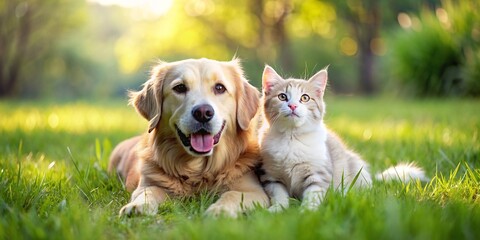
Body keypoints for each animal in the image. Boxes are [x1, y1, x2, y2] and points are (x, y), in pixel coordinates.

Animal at [106, 58, 268, 218]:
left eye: (219, 88)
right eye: (180, 88)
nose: (203, 113)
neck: (198, 170)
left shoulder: (253, 191)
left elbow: (232, 195)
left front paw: (220, 210)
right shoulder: (147, 184)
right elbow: (149, 192)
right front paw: (137, 207)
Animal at [256, 65, 426, 212]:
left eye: (305, 98)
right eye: (282, 96)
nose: (292, 106)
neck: (292, 139)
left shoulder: (319, 174)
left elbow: (313, 195)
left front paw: (307, 212)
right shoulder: (271, 175)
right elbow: (279, 196)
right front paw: (276, 210)